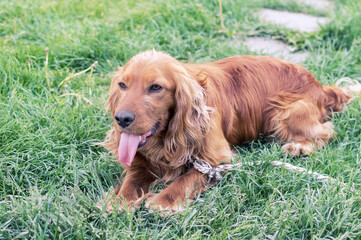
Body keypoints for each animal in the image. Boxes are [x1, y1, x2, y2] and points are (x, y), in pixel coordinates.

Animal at [98, 49, 348, 211]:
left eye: (156, 87)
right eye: (122, 85)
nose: (121, 118)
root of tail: (320, 86)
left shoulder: (218, 159)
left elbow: (188, 178)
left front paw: (165, 201)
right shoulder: (142, 159)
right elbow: (133, 178)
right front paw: (120, 201)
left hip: (283, 114)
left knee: (325, 131)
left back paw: (298, 147)